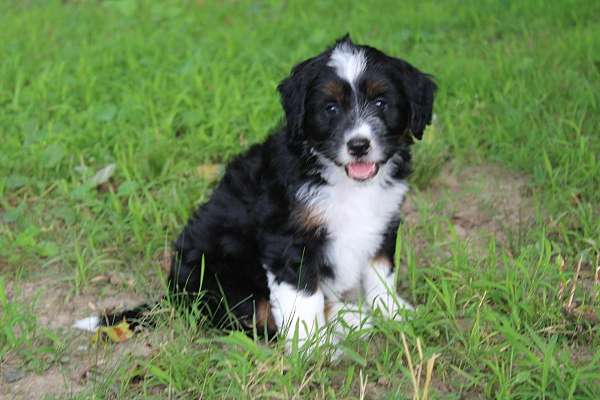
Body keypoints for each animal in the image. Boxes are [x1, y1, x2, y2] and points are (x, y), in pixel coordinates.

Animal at [75, 35, 436, 350]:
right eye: (331, 108)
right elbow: (304, 300)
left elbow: (380, 274)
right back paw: (349, 320)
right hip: (219, 273)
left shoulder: (383, 223)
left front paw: (393, 313)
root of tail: (175, 297)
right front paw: (313, 350)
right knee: (256, 319)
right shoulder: (290, 240)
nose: (358, 145)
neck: (341, 179)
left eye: (381, 102)